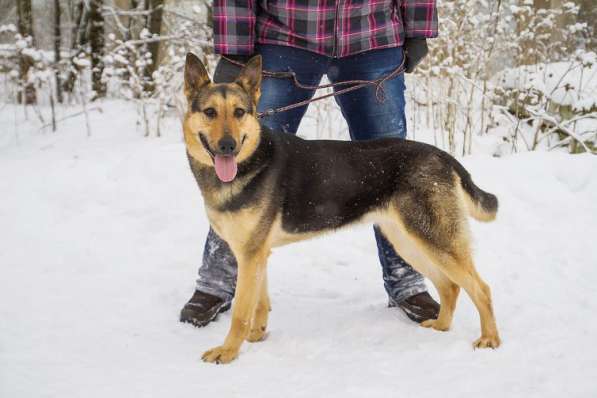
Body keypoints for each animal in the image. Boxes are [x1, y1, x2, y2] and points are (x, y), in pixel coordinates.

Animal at [182, 52, 498, 364]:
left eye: (239, 112)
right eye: (210, 112)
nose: (228, 146)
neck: (251, 160)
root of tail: (443, 156)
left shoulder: (250, 256)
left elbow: (240, 312)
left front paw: (228, 351)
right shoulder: (255, 255)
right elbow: (259, 304)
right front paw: (256, 337)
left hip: (434, 240)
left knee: (481, 288)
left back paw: (490, 339)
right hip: (408, 242)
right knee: (450, 286)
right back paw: (441, 327)